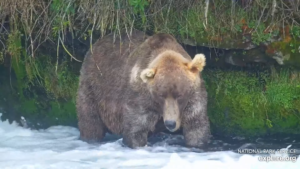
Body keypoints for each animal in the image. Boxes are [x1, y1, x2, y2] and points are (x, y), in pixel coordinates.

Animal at [76, 30, 210, 148]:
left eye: (180, 95)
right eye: (161, 95)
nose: (170, 123)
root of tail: (97, 43)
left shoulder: (194, 98)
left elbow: (196, 127)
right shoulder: (141, 98)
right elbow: (136, 128)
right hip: (93, 86)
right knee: (90, 120)